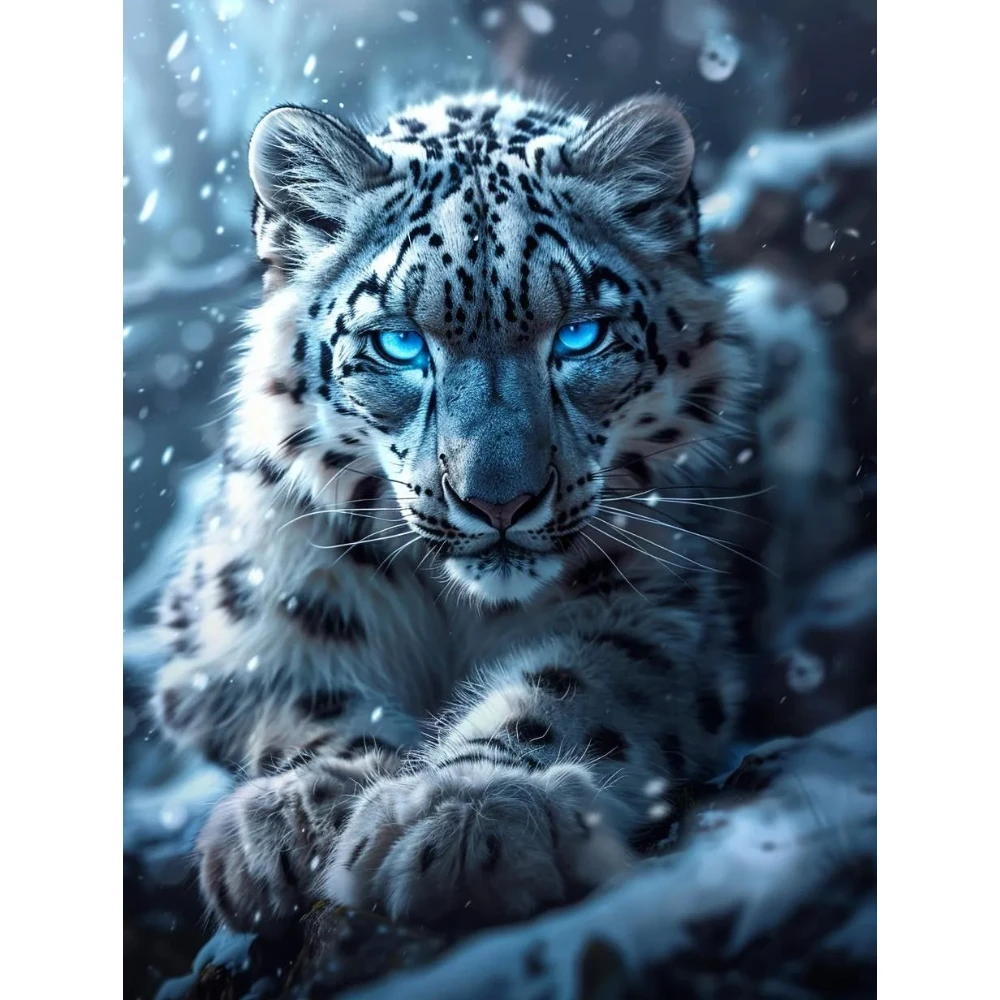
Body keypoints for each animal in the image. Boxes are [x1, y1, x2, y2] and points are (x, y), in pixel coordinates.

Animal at [153, 90, 778, 933]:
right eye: (398, 344)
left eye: (579, 335)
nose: (498, 499)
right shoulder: (241, 615)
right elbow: (296, 695)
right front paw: (295, 815)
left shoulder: (656, 606)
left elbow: (572, 688)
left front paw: (469, 812)